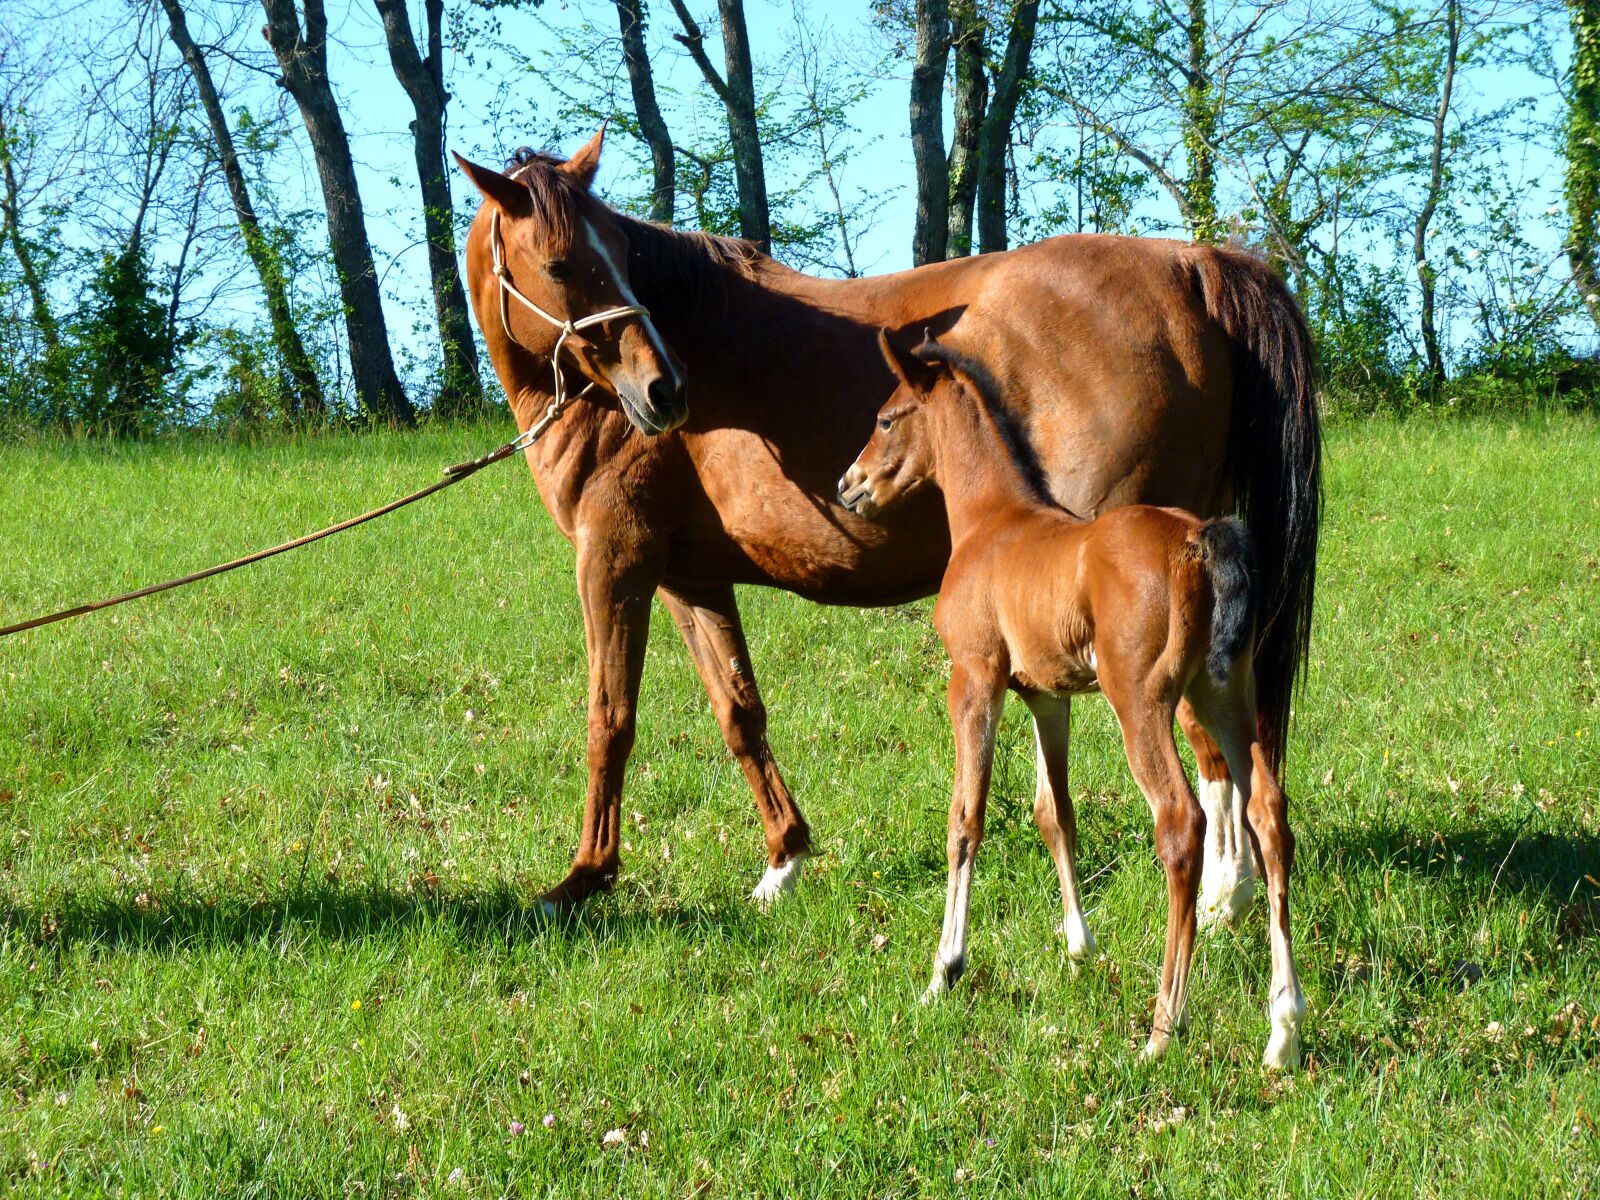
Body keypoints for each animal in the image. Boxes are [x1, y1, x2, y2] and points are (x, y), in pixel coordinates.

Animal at [457, 129, 1318, 921]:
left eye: (617, 259)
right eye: (564, 264)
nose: (663, 389)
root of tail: (1193, 266)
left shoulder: (614, 562)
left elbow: (609, 719)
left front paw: (583, 878)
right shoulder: (688, 580)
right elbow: (739, 713)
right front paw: (783, 861)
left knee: (1205, 753)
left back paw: (1223, 898)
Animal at [832, 331, 1305, 1068]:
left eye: (886, 418)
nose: (847, 487)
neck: (991, 522)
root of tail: (1198, 541)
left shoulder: (974, 679)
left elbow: (965, 819)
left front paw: (944, 971)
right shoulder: (1047, 699)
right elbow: (1056, 814)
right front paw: (1079, 948)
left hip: (1141, 702)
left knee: (1182, 823)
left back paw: (1163, 1028)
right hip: (1223, 692)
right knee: (1269, 814)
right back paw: (1283, 1028)